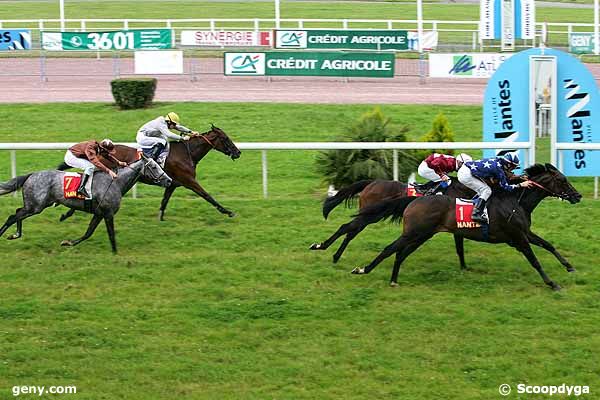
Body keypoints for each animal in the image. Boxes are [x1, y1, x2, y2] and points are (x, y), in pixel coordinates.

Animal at [0, 157, 171, 253]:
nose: (169, 180)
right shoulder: (108, 213)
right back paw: (8, 234)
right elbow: (111, 234)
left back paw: (15, 234)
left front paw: (67, 242)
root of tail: (31, 175)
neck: (115, 182)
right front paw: (116, 252)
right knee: (12, 216)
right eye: (154, 166)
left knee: (17, 213)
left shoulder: (99, 213)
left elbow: (88, 233)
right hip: (36, 206)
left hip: (35, 205)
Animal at [58, 125, 240, 222]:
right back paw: (69, 211)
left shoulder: (173, 183)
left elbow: (164, 201)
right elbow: (207, 195)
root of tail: (100, 151)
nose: (238, 152)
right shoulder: (189, 181)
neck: (187, 153)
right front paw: (227, 211)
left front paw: (160, 218)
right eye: (225, 138)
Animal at [350, 164, 580, 292]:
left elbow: (548, 245)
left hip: (422, 235)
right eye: (562, 180)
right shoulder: (518, 238)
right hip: (413, 233)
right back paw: (363, 269)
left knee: (400, 254)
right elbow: (535, 261)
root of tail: (414, 200)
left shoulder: (525, 233)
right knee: (389, 249)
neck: (516, 201)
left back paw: (393, 280)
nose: (578, 196)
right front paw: (552, 283)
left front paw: (569, 266)